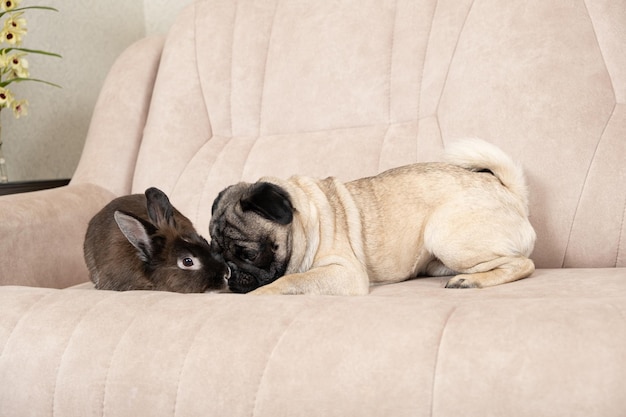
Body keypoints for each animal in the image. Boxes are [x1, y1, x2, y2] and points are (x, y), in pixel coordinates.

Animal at [207, 138, 532, 294]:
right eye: (215, 252)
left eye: (248, 254)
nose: (227, 271)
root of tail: (508, 190)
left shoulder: (343, 273)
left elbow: (287, 281)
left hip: (446, 238)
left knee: (522, 264)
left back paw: (469, 281)